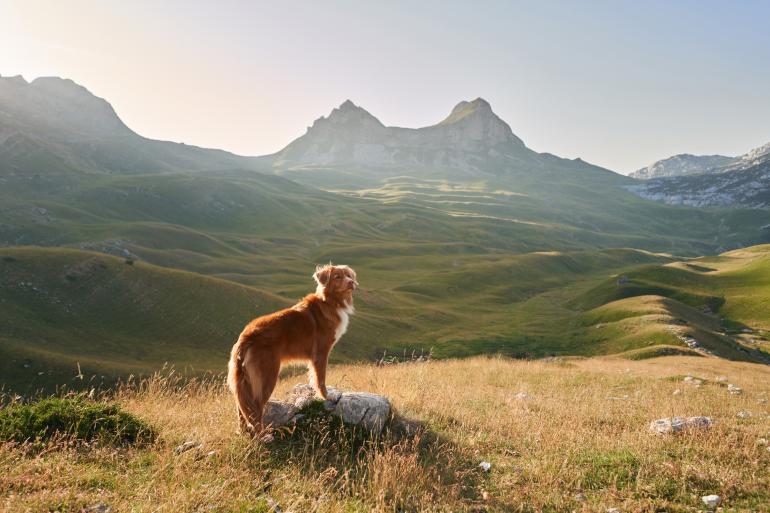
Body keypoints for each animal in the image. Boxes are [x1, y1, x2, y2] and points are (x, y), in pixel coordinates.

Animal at [228, 264, 356, 432]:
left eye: (348, 275)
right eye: (337, 277)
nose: (351, 283)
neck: (330, 302)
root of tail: (246, 336)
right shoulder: (321, 353)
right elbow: (320, 379)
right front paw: (326, 396)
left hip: (246, 381)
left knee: (242, 408)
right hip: (267, 376)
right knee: (256, 408)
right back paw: (263, 434)